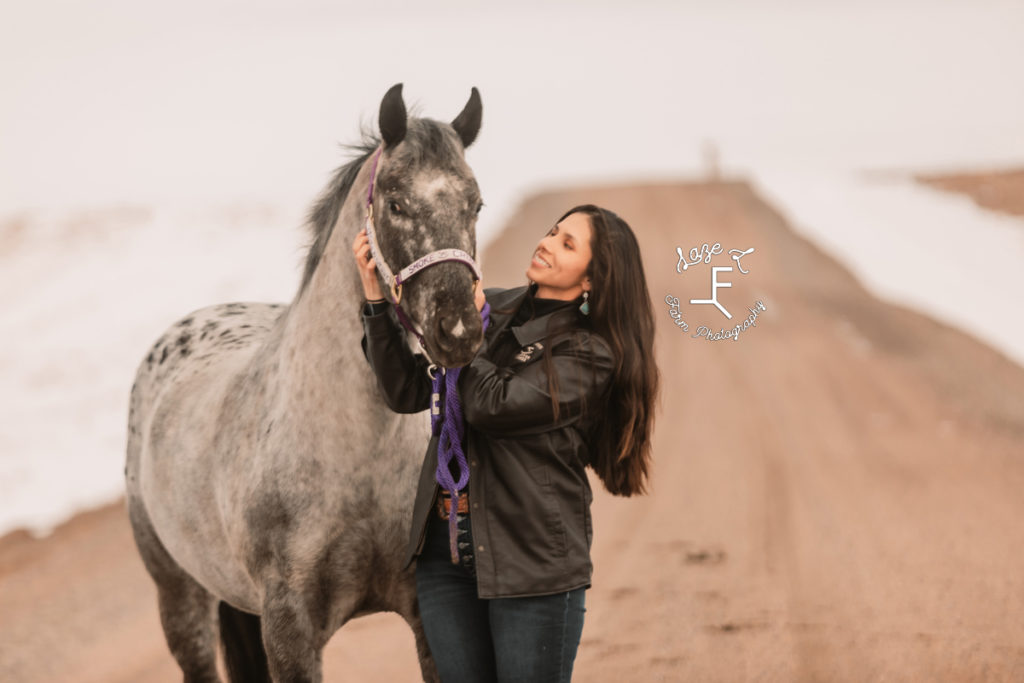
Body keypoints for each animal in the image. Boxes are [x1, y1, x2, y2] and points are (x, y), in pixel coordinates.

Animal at [123, 85, 483, 683]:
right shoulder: (289, 632)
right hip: (181, 600)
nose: (457, 330)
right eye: (395, 203)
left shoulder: (427, 612)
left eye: (475, 204)